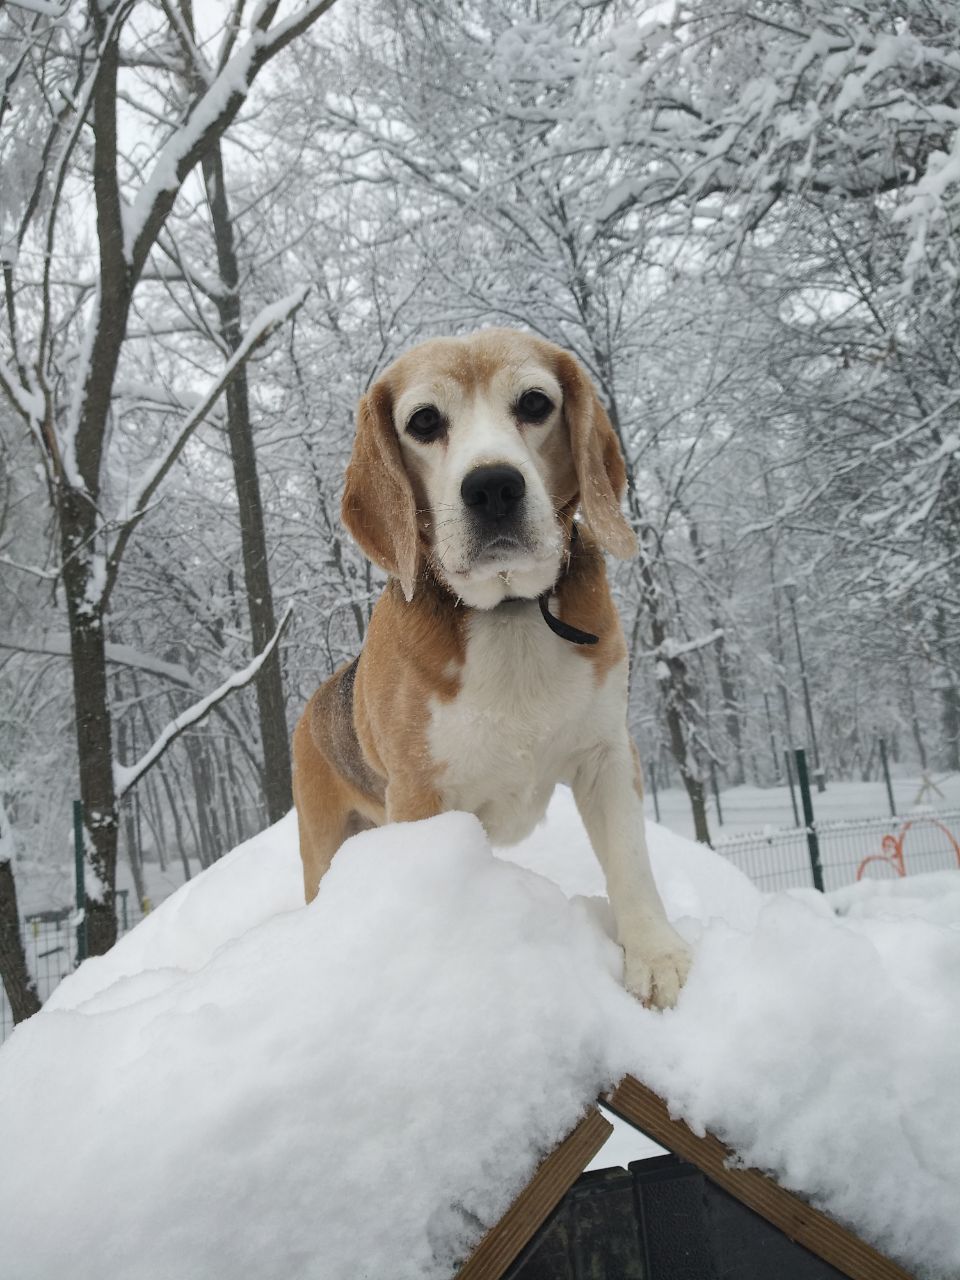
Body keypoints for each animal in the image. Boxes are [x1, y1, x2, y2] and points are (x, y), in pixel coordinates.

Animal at [293, 327, 691, 1008]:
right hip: (322, 845)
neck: (511, 613)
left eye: (534, 403)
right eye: (424, 421)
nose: (494, 487)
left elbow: (630, 861)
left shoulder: (607, 755)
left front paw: (654, 954)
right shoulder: (422, 798)